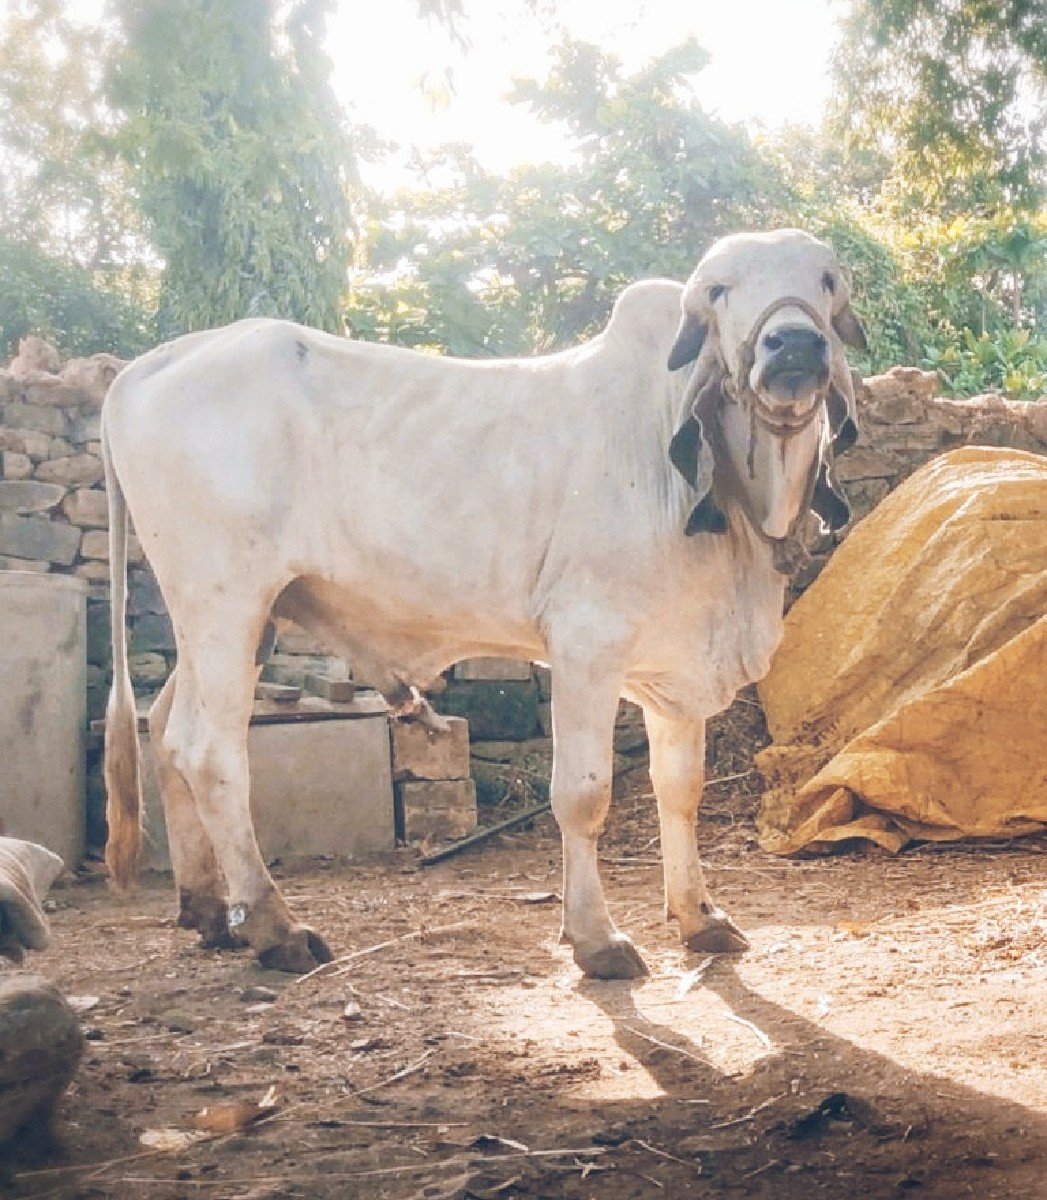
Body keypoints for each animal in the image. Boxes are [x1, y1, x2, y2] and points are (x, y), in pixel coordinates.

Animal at [102, 229, 865, 978]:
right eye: (719, 290)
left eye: (826, 283)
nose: (793, 345)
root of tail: (153, 364)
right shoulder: (587, 644)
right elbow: (583, 794)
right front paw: (595, 938)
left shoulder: (674, 665)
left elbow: (679, 790)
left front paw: (699, 918)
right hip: (224, 603)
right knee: (209, 753)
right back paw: (273, 927)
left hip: (239, 621)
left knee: (166, 729)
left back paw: (209, 911)